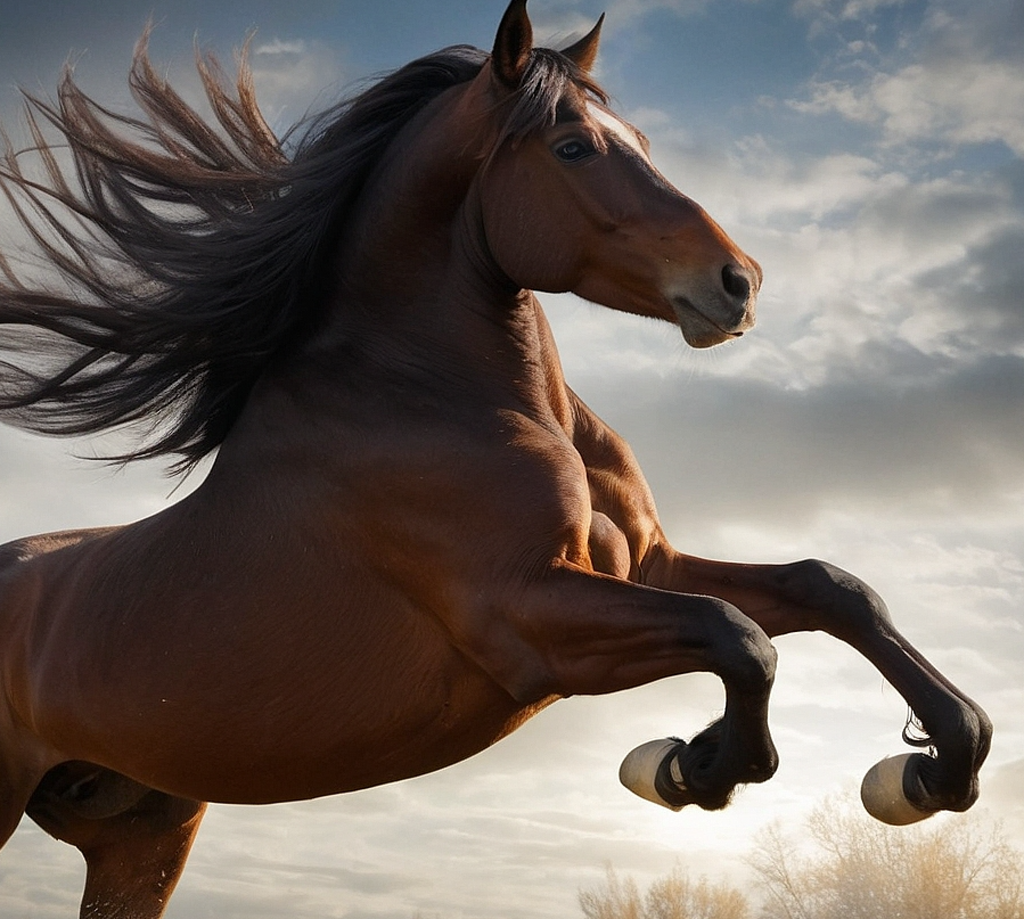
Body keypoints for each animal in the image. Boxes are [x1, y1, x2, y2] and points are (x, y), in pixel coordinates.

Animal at [0, 1, 991, 916]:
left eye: (640, 140)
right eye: (573, 148)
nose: (737, 283)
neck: (437, 398)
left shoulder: (642, 565)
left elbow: (830, 589)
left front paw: (941, 765)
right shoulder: (531, 624)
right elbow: (738, 636)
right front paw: (690, 766)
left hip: (144, 833)